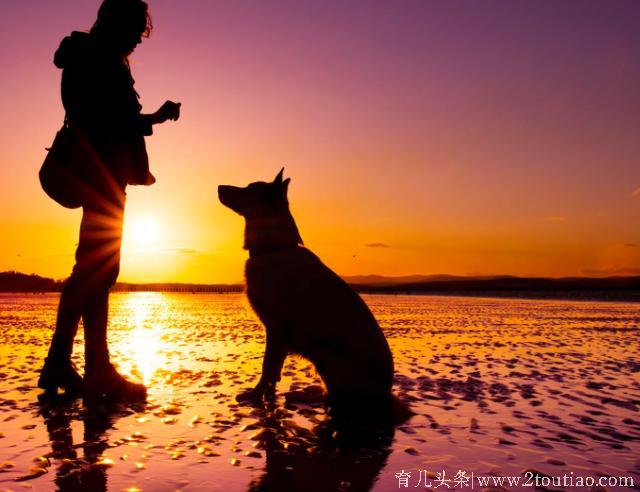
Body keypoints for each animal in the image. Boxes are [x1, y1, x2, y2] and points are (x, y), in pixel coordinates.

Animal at [218, 171, 412, 424]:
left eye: (249, 188)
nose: (219, 187)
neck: (274, 248)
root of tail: (385, 397)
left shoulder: (275, 329)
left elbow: (267, 366)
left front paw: (255, 395)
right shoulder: (280, 335)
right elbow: (275, 369)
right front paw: (269, 394)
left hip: (325, 354)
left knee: (337, 400)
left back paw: (306, 396)